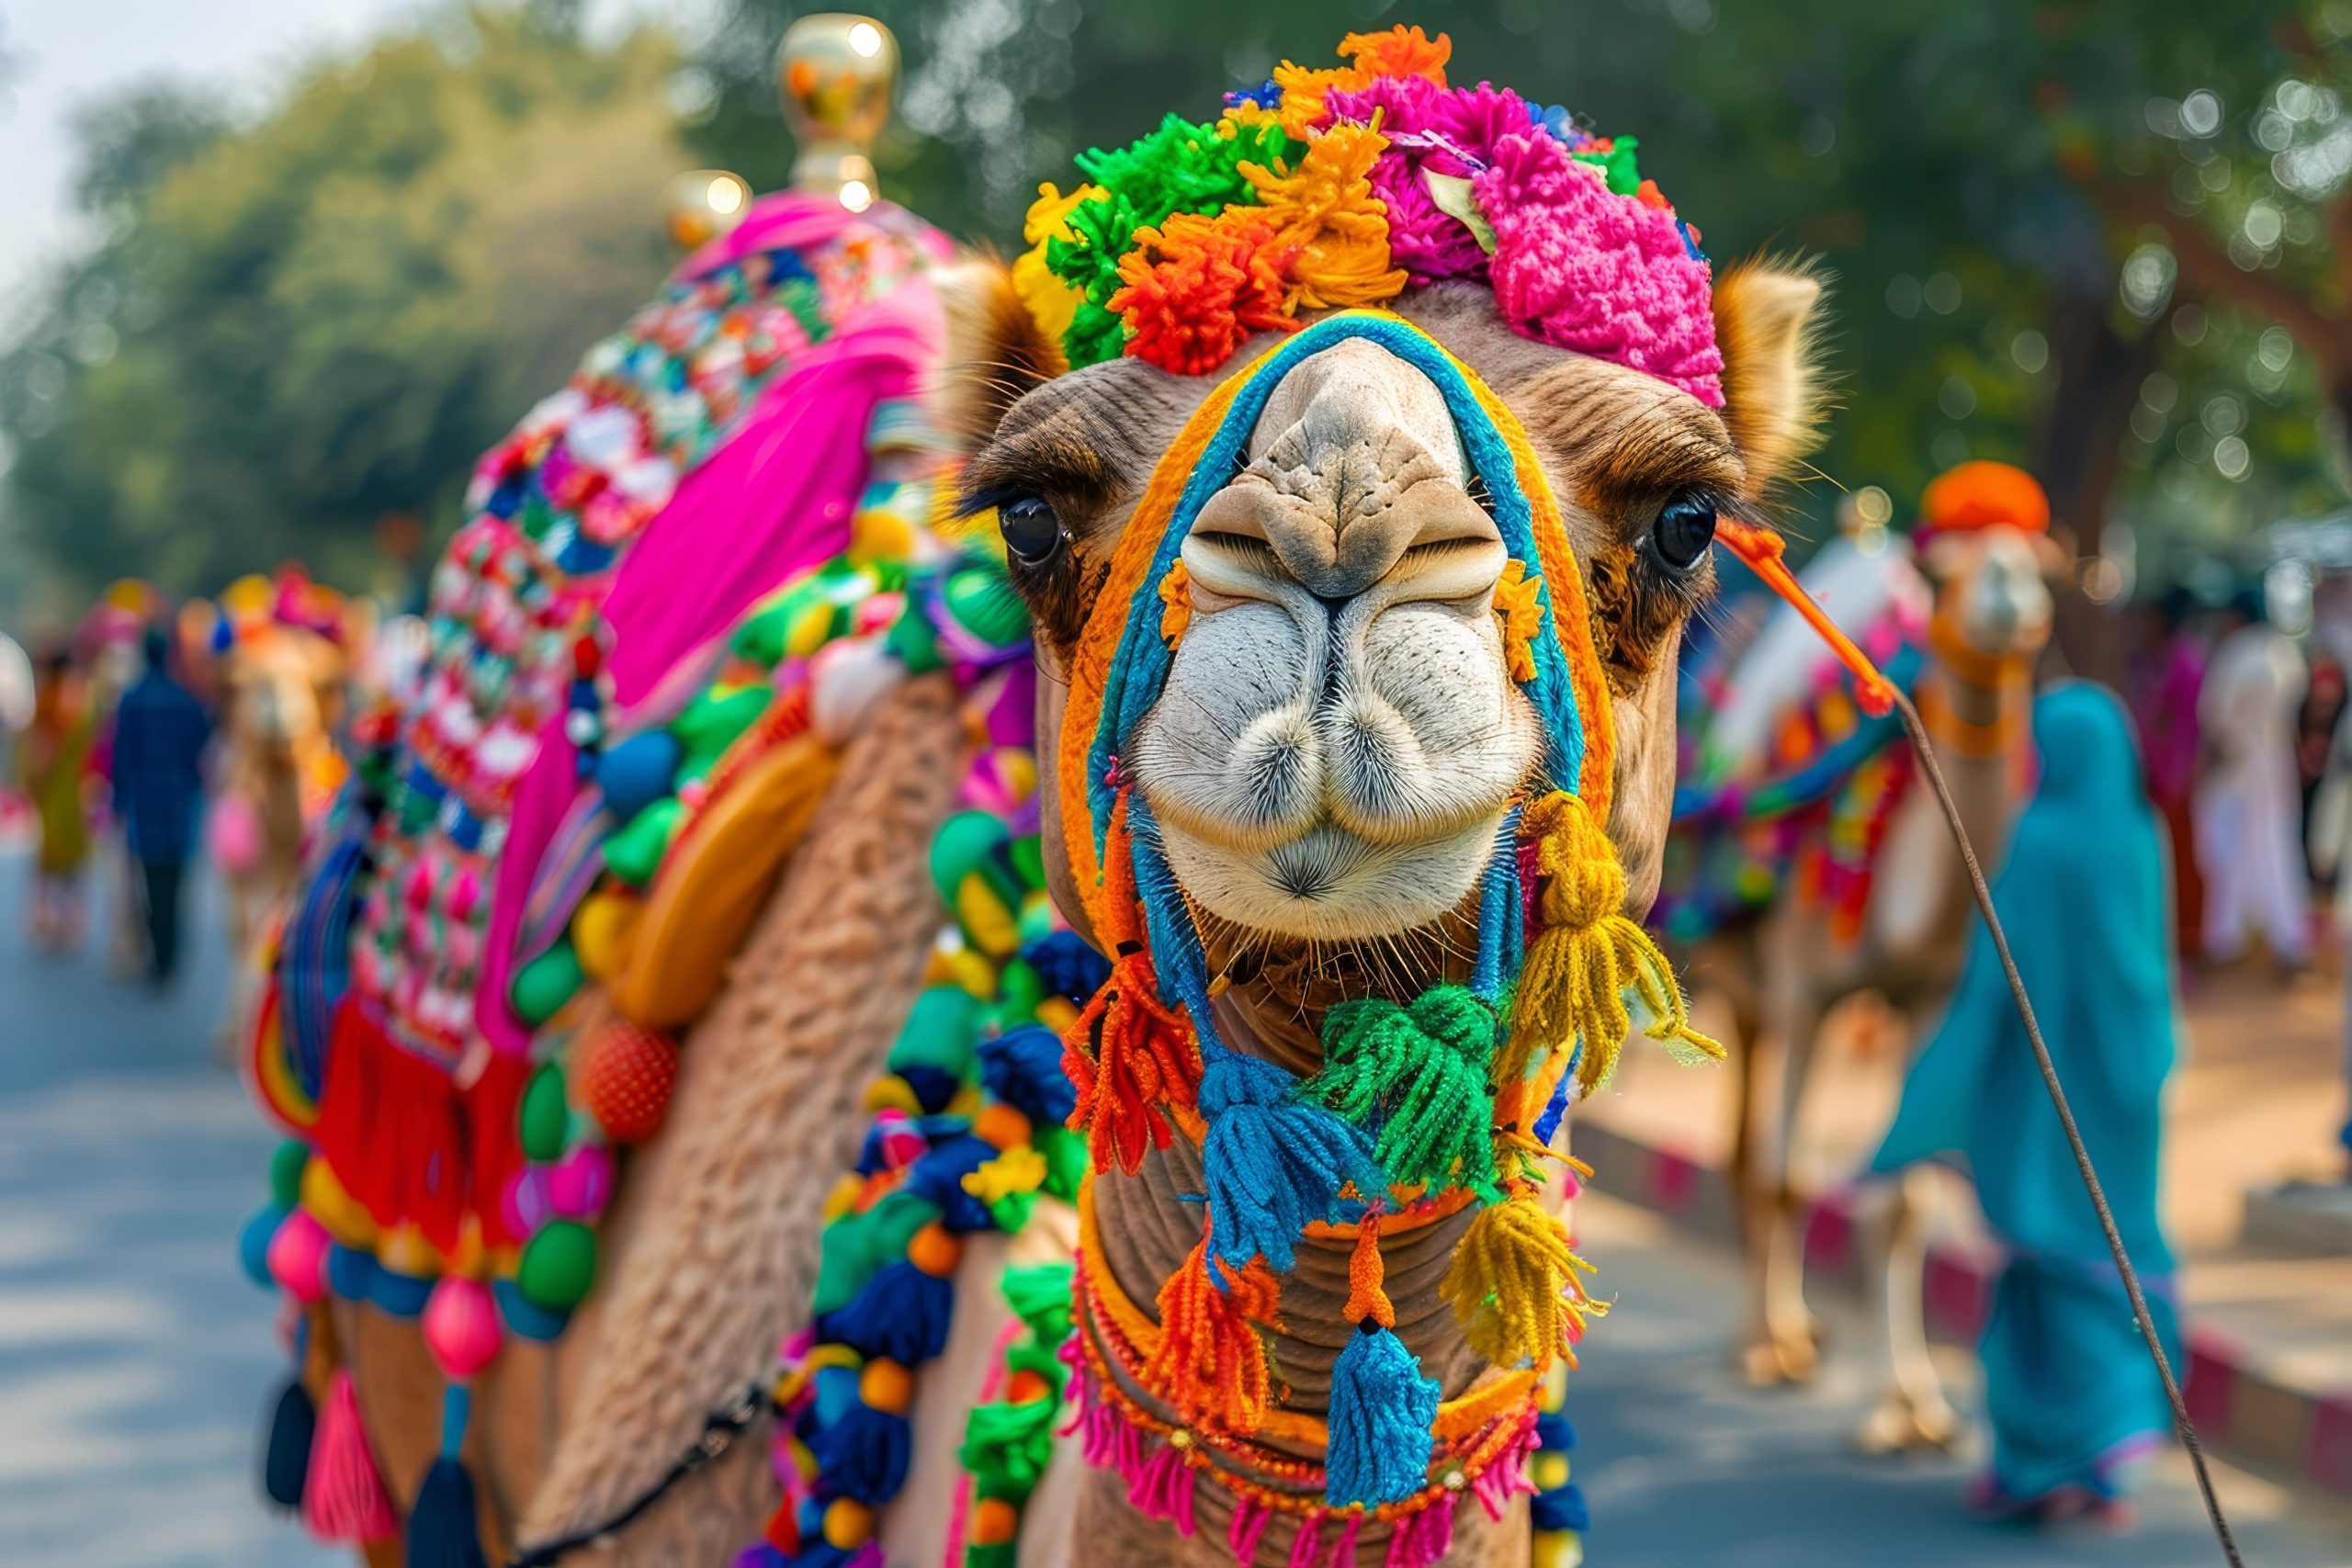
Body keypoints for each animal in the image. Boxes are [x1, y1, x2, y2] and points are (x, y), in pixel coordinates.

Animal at [1664, 463, 2059, 1451]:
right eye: (1945, 568)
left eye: (2045, 560)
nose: (2012, 591)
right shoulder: (1811, 989)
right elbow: (1791, 1175)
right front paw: (1776, 1356)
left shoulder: (1923, 999)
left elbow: (1903, 1205)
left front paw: (1914, 1408)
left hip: (1752, 993)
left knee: (1738, 1144)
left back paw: (1793, 1329)